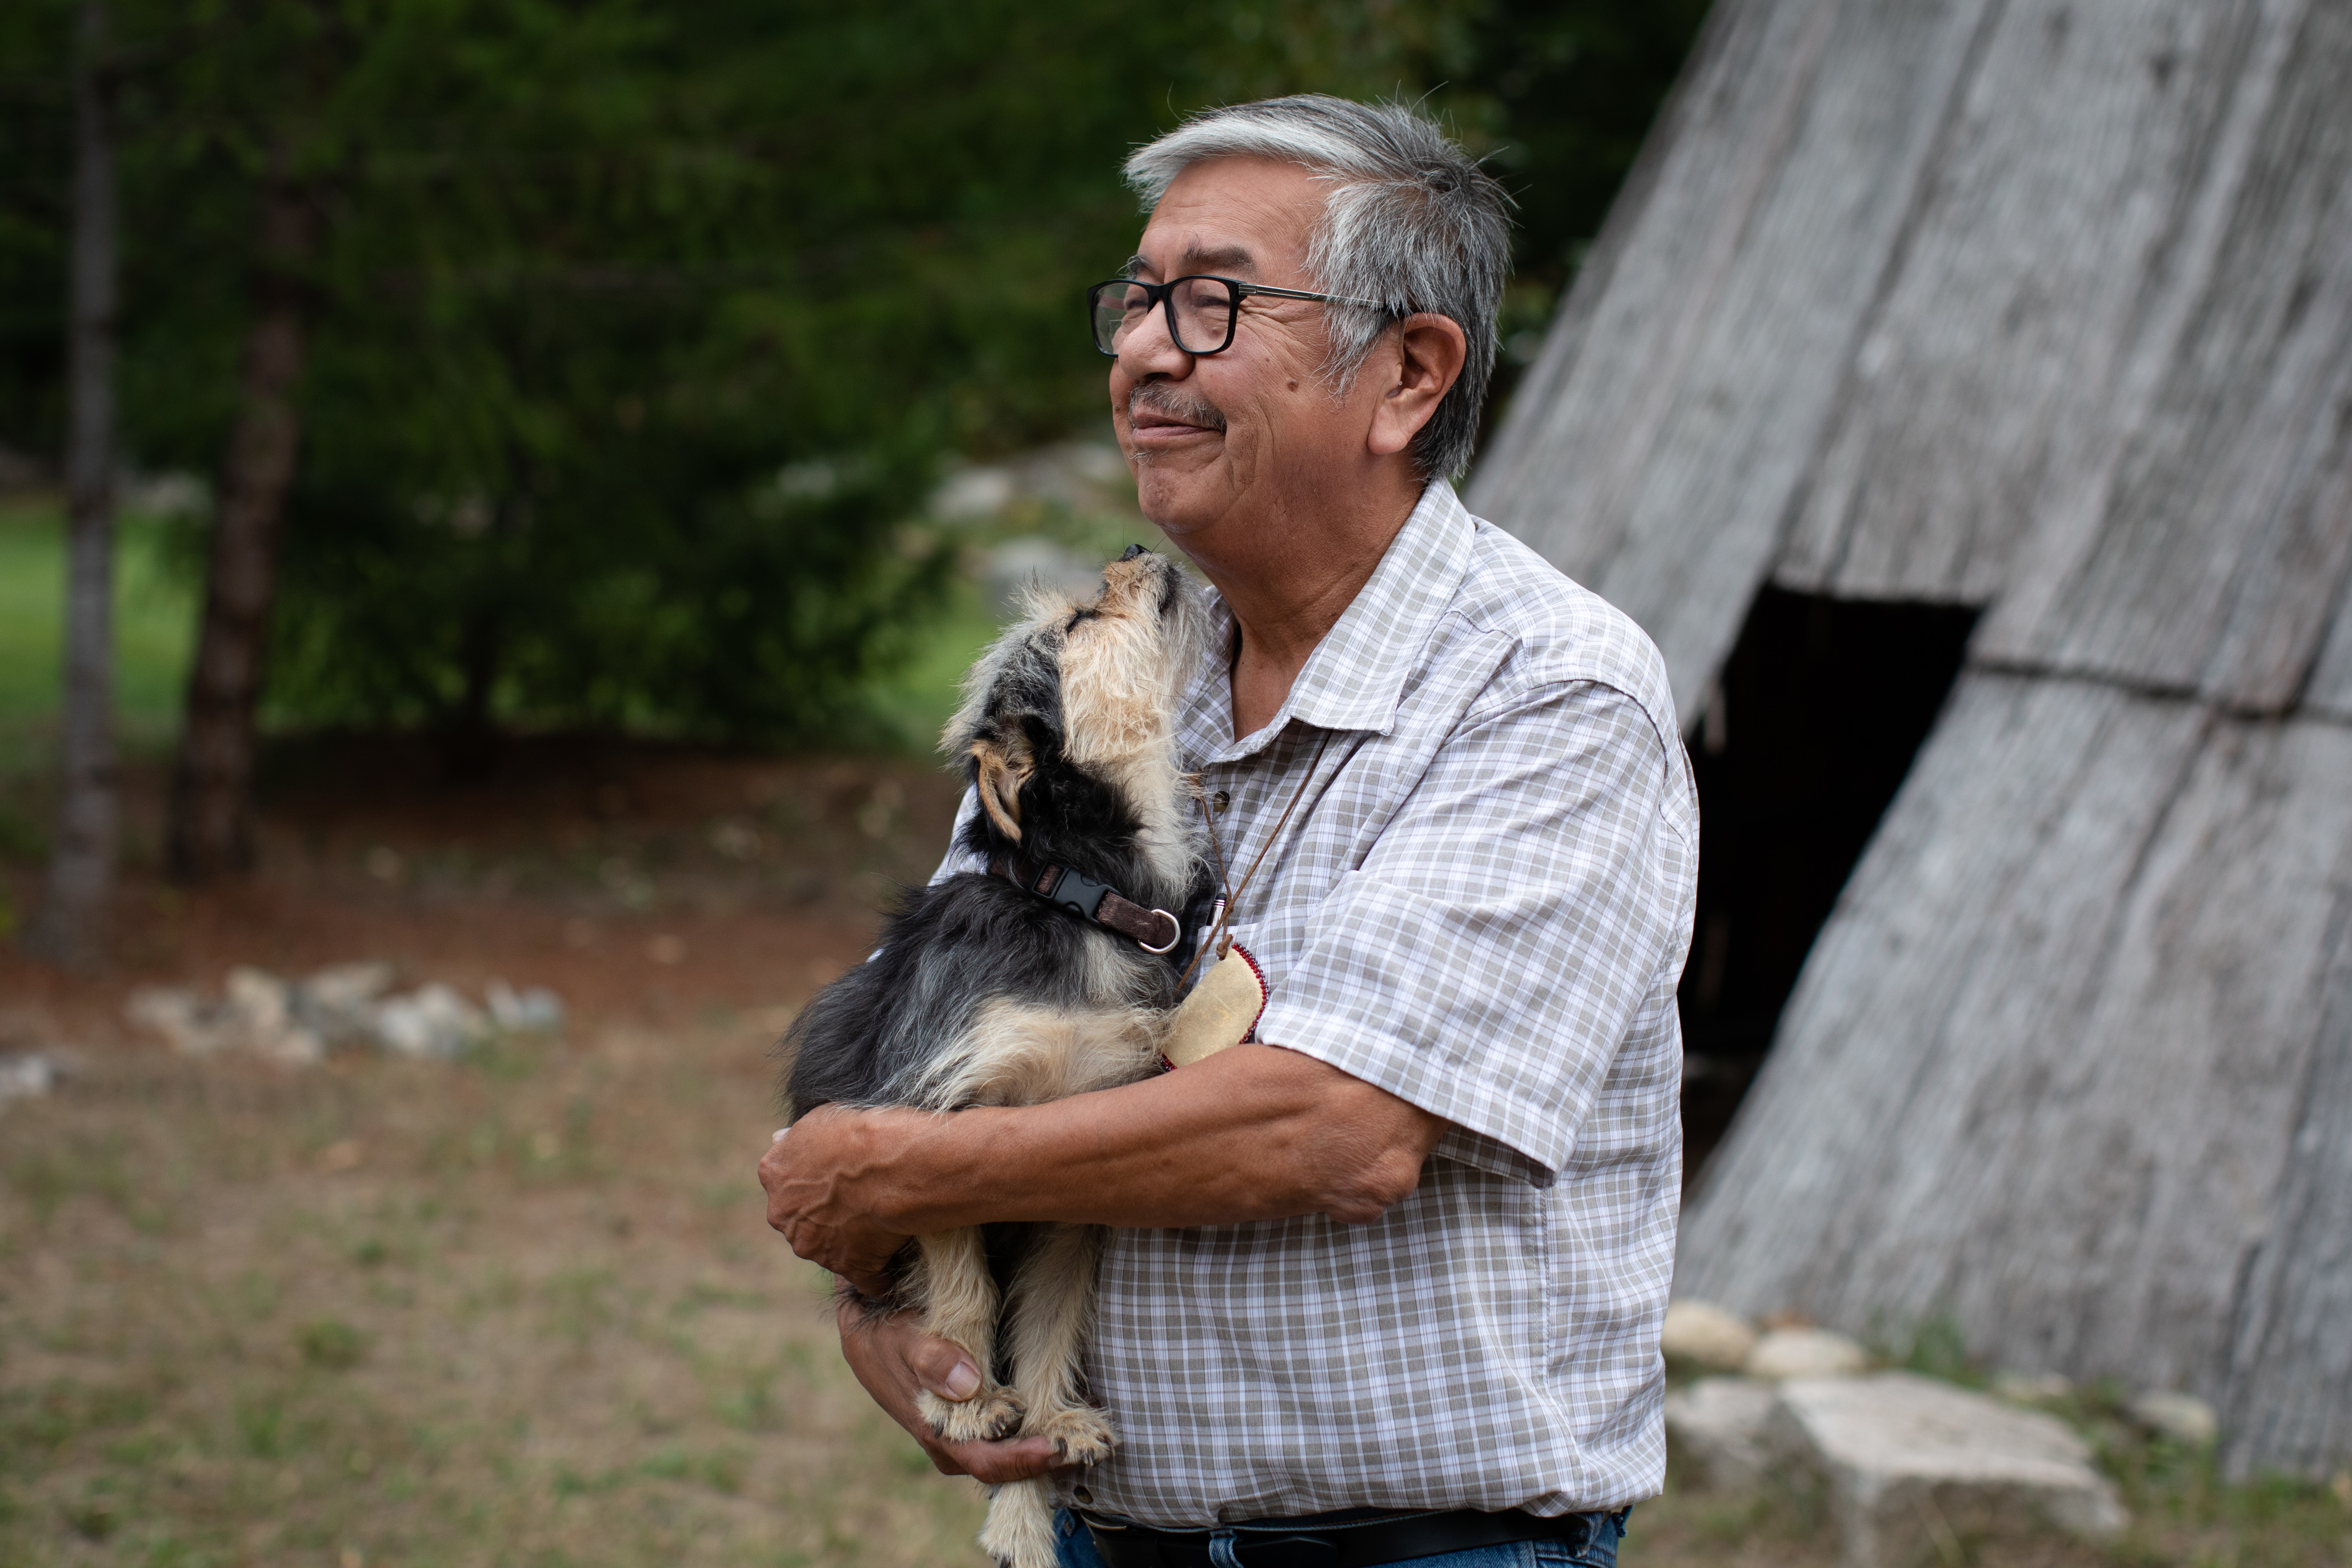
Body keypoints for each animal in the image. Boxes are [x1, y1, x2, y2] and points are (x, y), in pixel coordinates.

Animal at [781, 543, 1213, 1568]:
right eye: (1081, 623)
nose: (1133, 548)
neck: (1077, 899)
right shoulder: (932, 1127)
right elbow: (969, 1293)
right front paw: (969, 1403)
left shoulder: (1073, 1177)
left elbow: (1049, 1316)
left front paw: (1049, 1422)